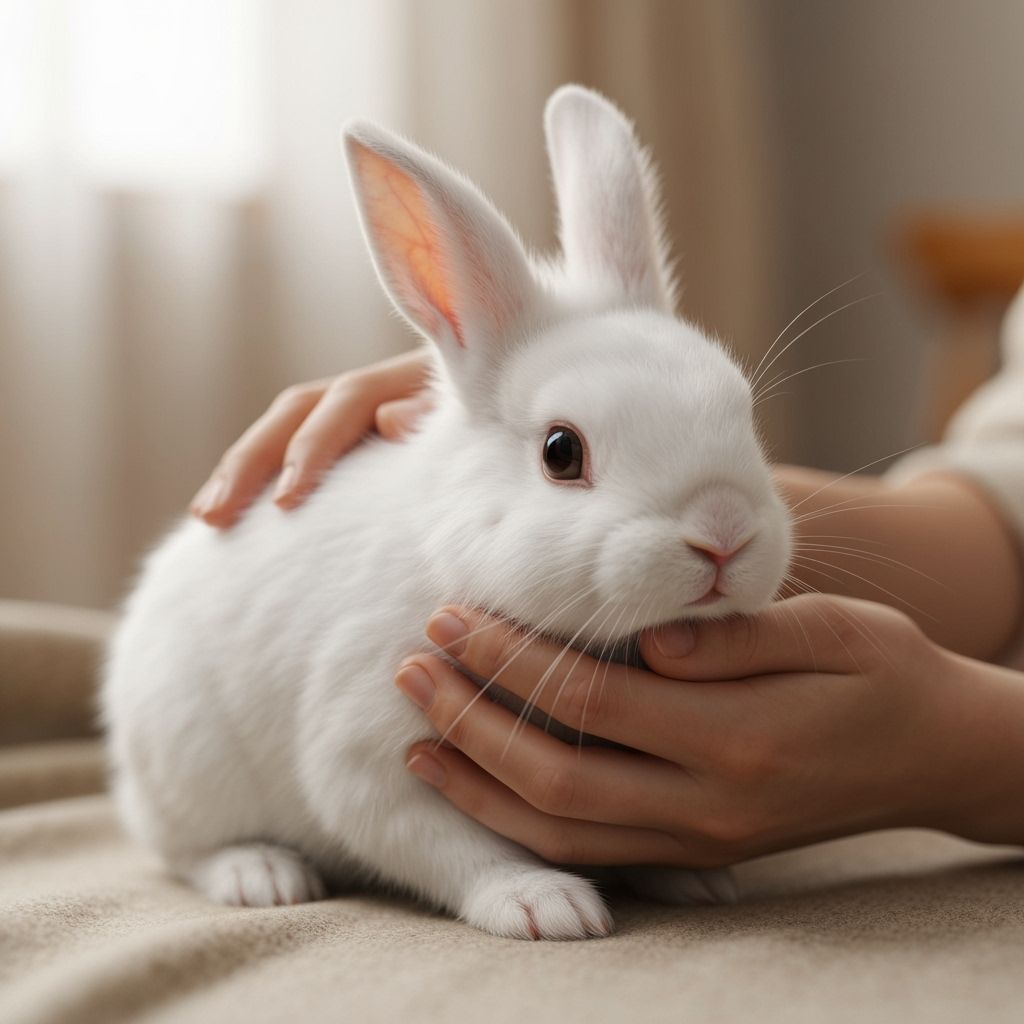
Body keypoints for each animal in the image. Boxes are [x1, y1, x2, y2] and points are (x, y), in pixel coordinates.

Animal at [102, 85, 792, 941]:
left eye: (744, 412)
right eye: (561, 452)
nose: (724, 534)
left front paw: (694, 877)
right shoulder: (372, 749)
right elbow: (448, 845)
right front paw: (546, 906)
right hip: (188, 762)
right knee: (183, 849)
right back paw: (260, 875)